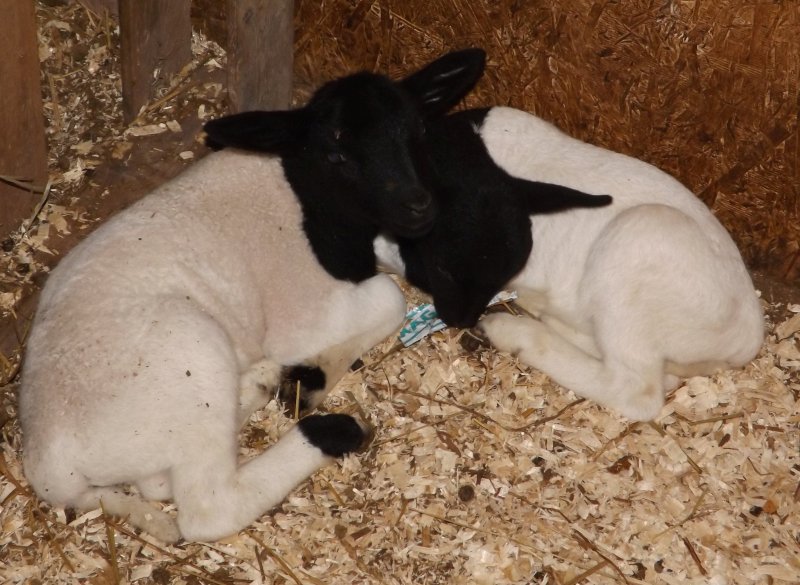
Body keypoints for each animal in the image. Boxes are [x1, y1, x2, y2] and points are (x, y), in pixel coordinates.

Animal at [18, 50, 488, 544]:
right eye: (338, 154)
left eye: (417, 132)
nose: (419, 206)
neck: (309, 197)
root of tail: (48, 464)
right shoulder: (302, 311)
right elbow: (390, 298)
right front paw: (314, 377)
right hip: (192, 353)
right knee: (206, 506)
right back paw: (327, 429)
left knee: (156, 482)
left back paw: (259, 384)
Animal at [378, 106, 764, 420]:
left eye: (443, 266)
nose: (459, 320)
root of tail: (747, 337)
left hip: (636, 247)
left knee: (636, 390)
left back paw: (511, 331)